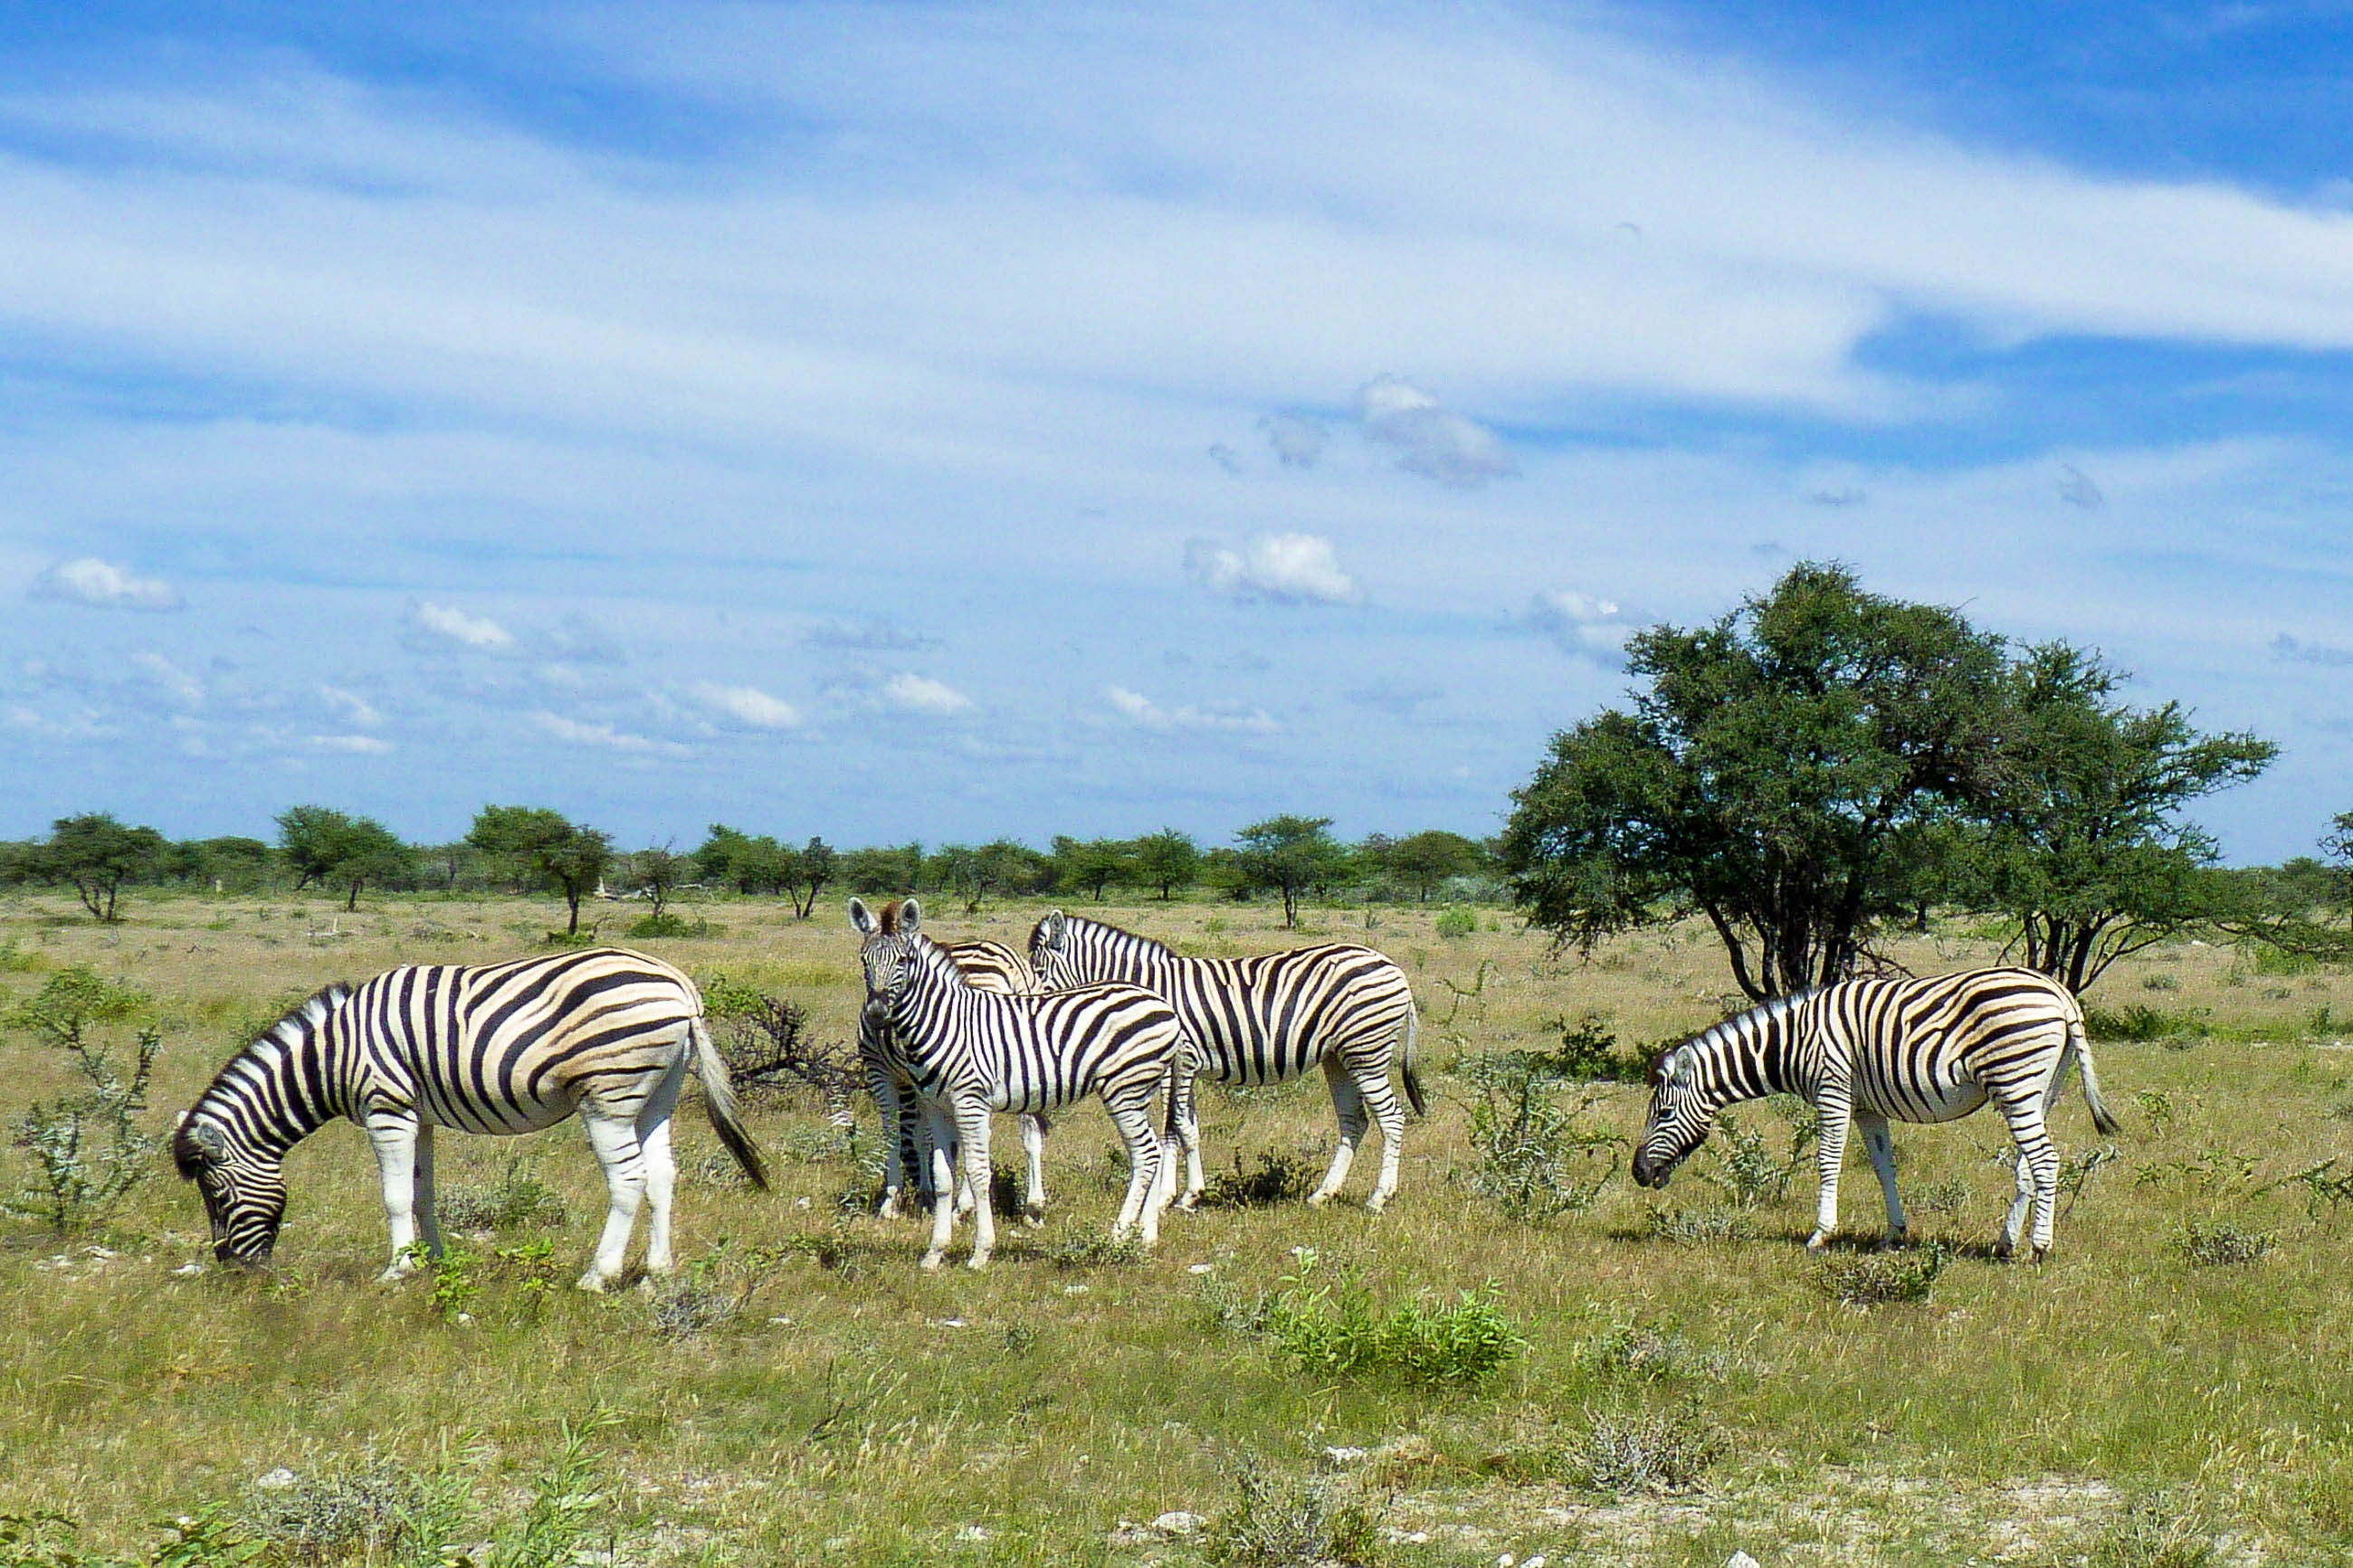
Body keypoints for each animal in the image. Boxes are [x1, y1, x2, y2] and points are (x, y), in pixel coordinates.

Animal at [174, 949, 762, 1297]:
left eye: (217, 1196)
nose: (234, 1273)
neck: (329, 1057)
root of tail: (681, 987)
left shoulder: (386, 1109)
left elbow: (393, 1197)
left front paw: (396, 1272)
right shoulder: (418, 1115)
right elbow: (421, 1193)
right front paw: (432, 1261)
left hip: (609, 1093)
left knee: (629, 1180)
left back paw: (598, 1276)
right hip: (659, 1092)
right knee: (662, 1176)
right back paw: (658, 1271)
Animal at [861, 930, 1053, 1222]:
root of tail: (1014, 966)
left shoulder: (881, 1070)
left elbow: (903, 1132)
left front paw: (898, 1200)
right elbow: (927, 1133)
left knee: (984, 1134)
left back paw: (963, 1205)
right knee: (1030, 1132)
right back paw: (1033, 1207)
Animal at [1035, 907, 1430, 1212]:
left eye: (1039, 972)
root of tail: (1392, 966)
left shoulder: (1179, 1061)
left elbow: (1175, 1126)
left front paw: (1172, 1198)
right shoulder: (1185, 1066)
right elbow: (1187, 1127)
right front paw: (1186, 1193)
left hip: (1367, 1050)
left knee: (1392, 1118)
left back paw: (1379, 1198)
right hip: (1339, 1056)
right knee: (1355, 1121)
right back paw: (1322, 1194)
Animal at [1628, 968, 2127, 1259]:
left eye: (1665, 1113)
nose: (1638, 1172)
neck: (1792, 1041)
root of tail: (2062, 994)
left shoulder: (1833, 1089)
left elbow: (1829, 1163)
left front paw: (1820, 1236)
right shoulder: (1867, 1106)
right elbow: (1883, 1166)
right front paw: (1894, 1235)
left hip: (2015, 1079)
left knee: (2045, 1161)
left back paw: (2040, 1248)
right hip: (2041, 1088)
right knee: (2029, 1164)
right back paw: (2006, 1244)